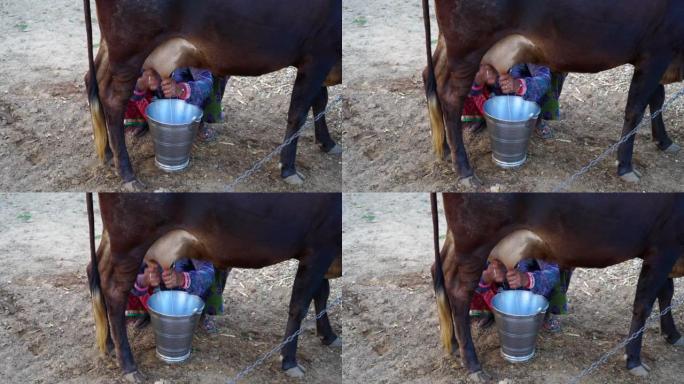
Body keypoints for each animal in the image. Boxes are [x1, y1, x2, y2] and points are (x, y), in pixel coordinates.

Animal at [83, 0, 342, 190]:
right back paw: (127, 174)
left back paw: (108, 154)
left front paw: (328, 143)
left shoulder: (319, 62)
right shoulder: (318, 56)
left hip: (112, 48)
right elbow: (298, 113)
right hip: (130, 50)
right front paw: (288, 168)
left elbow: (320, 102)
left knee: (92, 80)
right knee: (113, 99)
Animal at [86, 194, 342, 382]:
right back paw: (129, 366)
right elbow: (299, 306)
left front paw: (329, 335)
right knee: (114, 291)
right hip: (131, 242)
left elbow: (322, 295)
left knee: (95, 270)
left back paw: (109, 344)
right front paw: (289, 361)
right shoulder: (320, 248)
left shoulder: (323, 255)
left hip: (115, 240)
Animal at [422, 0, 684, 189]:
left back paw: (445, 149)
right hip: (468, 48)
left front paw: (665, 141)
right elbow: (635, 110)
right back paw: (464, 170)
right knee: (451, 96)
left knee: (430, 76)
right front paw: (626, 167)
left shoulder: (655, 57)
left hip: (450, 46)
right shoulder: (656, 53)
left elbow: (657, 100)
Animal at [432, 194, 684, 382]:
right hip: (475, 243)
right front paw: (634, 360)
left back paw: (453, 344)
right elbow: (644, 305)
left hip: (458, 242)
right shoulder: (664, 247)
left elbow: (666, 294)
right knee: (459, 292)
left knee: (439, 271)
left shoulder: (664, 253)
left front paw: (673, 335)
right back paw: (473, 364)